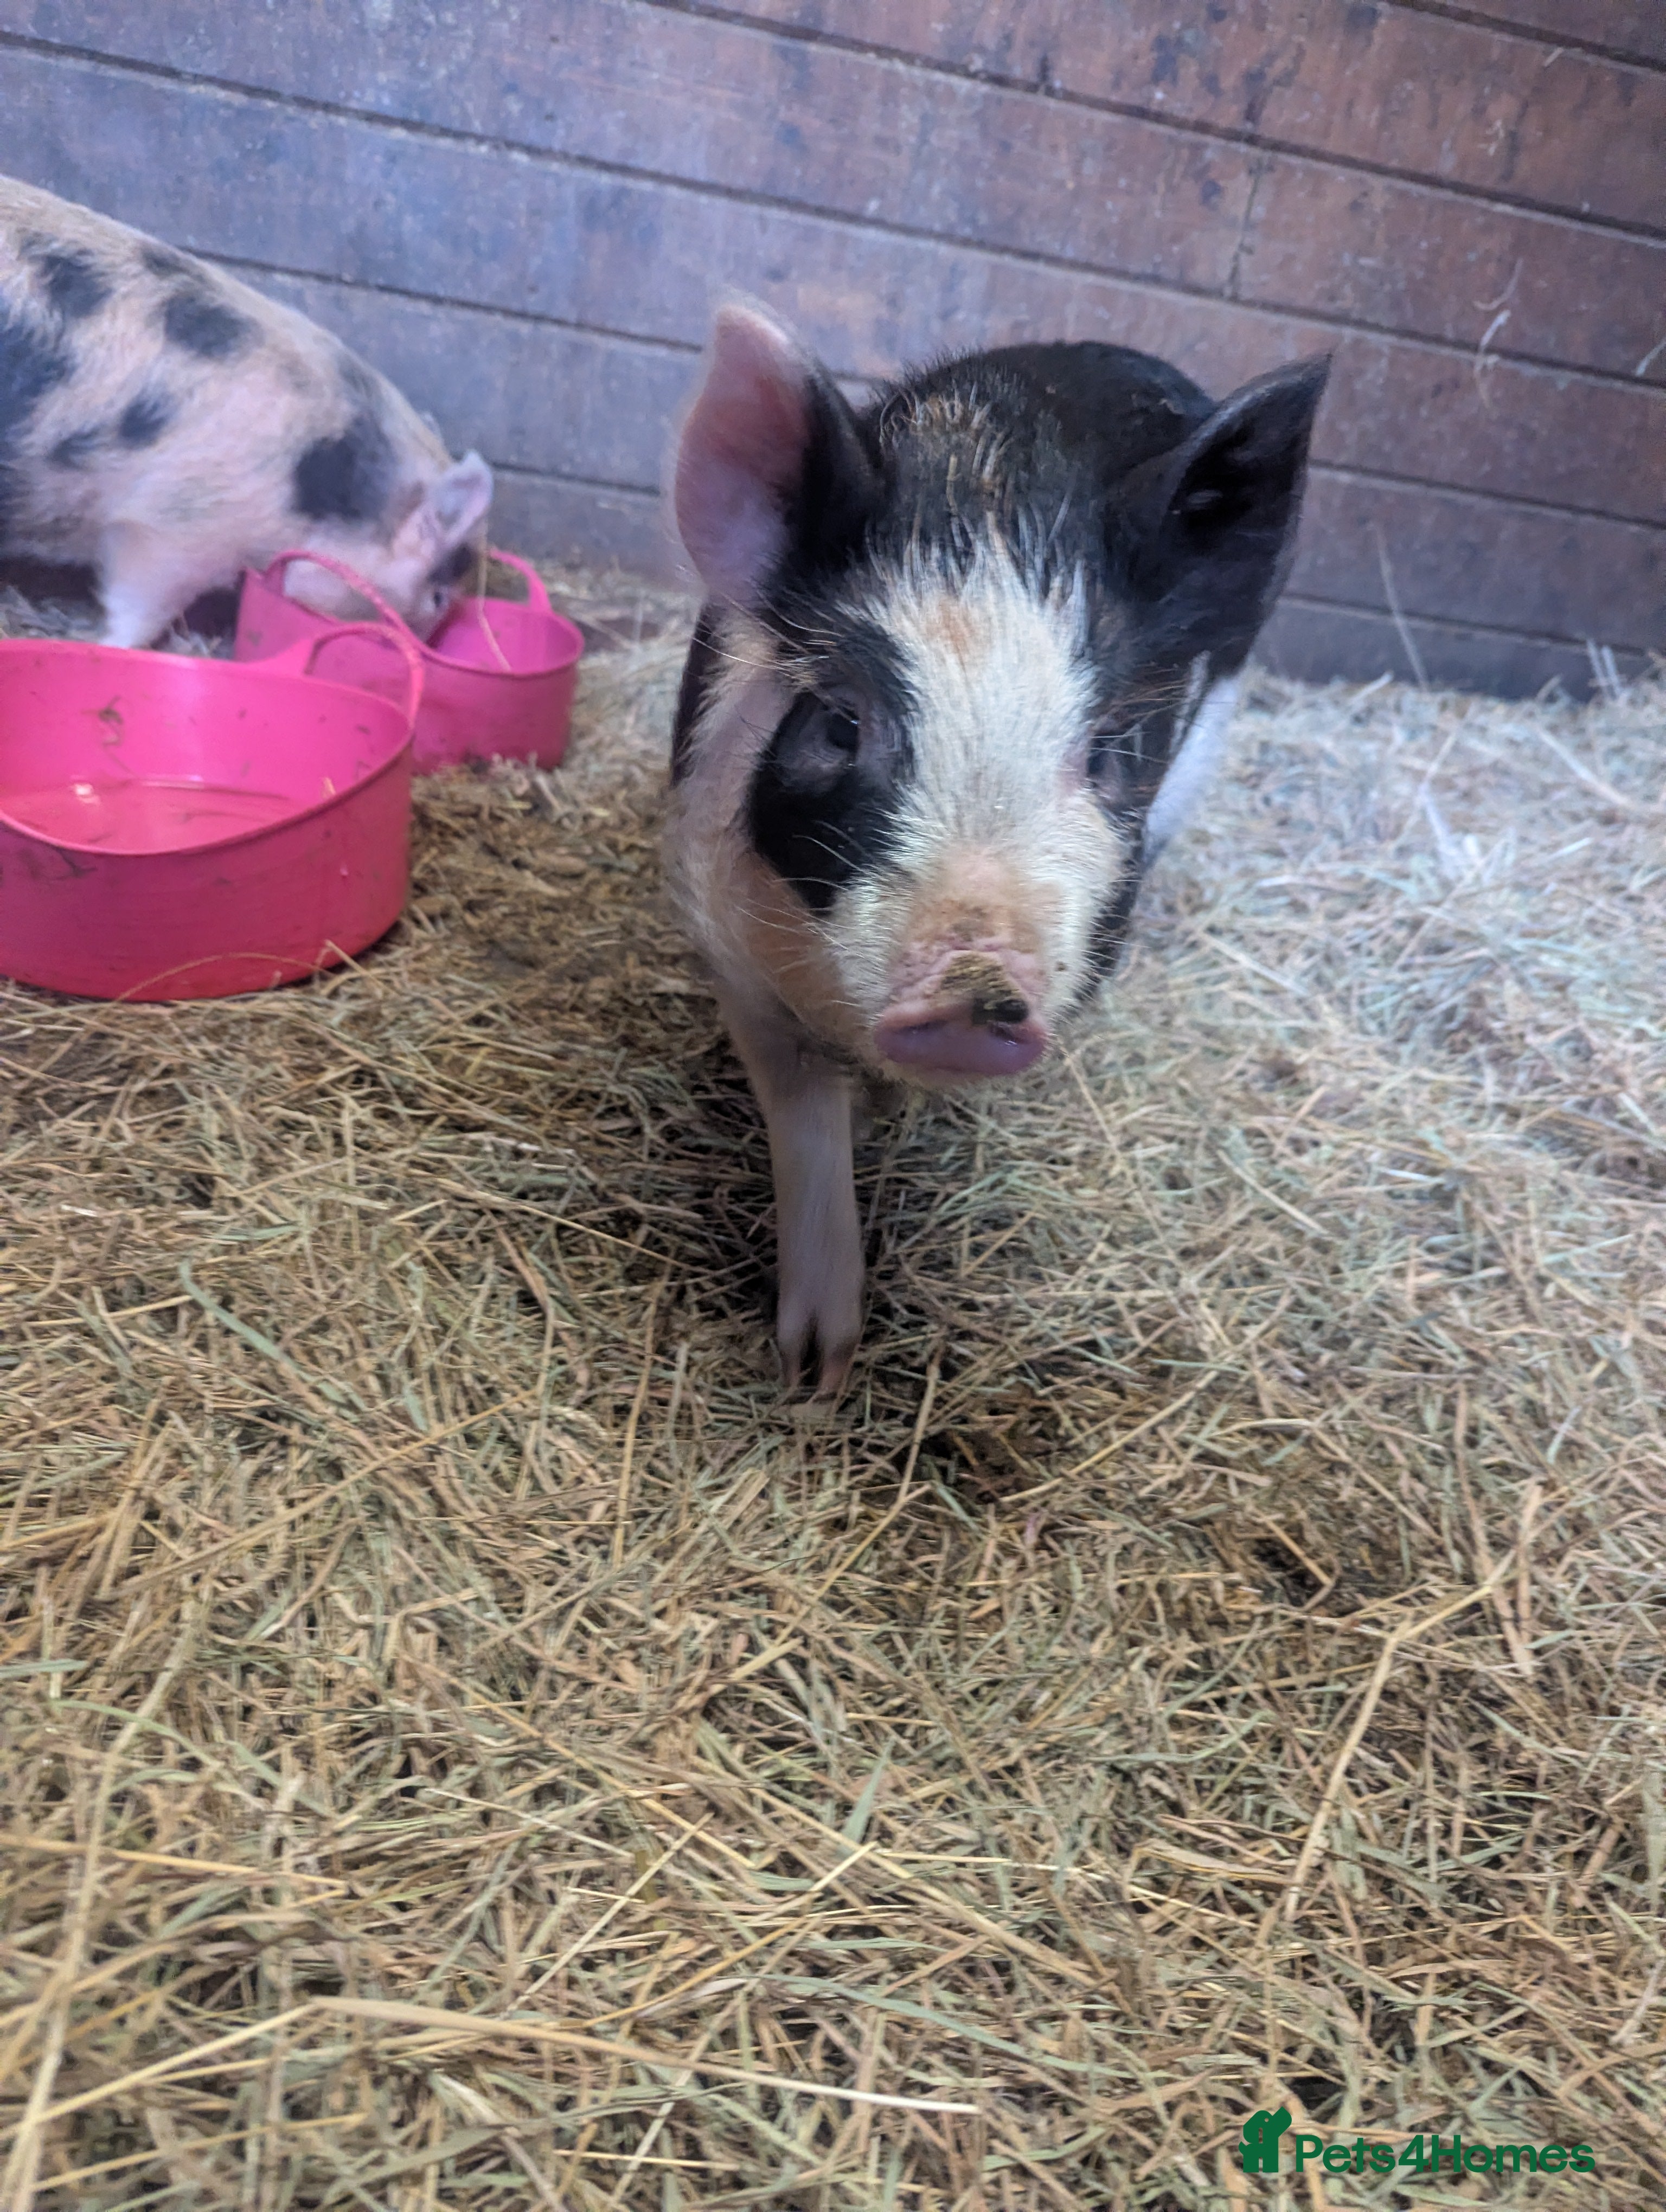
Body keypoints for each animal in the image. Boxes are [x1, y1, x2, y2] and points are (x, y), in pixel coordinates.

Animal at [0, 174, 492, 647]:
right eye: (437, 596)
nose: (425, 644)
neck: (312, 480)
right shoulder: (180, 524)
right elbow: (141, 604)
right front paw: (102, 643)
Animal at [666, 303, 1328, 1393]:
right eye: (840, 724)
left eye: (1111, 748)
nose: (976, 994)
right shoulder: (724, 933)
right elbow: (803, 1121)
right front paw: (814, 1375)